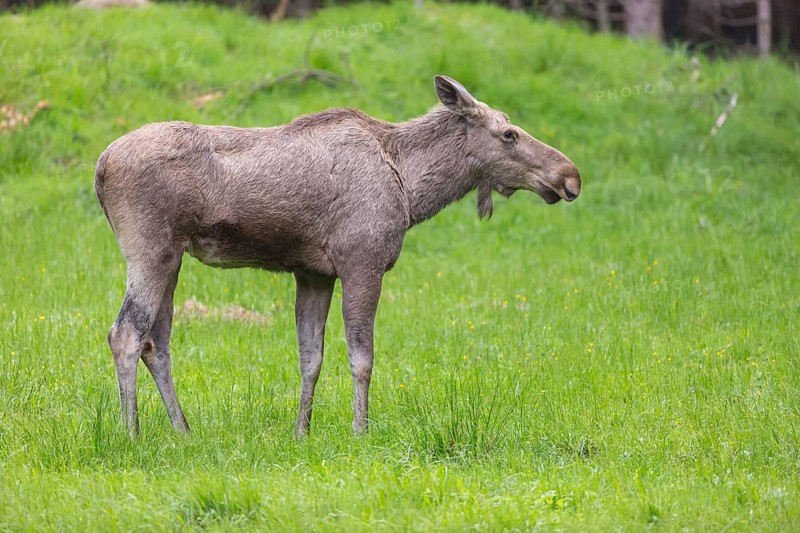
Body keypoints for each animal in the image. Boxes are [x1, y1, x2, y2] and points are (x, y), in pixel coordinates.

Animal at [95, 75, 581, 438]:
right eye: (509, 134)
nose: (570, 176)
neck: (410, 187)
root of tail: (100, 168)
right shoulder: (362, 262)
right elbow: (361, 357)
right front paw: (360, 431)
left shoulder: (314, 273)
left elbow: (310, 358)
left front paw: (301, 432)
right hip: (150, 250)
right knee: (126, 333)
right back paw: (132, 433)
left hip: (173, 260)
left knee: (157, 342)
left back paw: (183, 432)